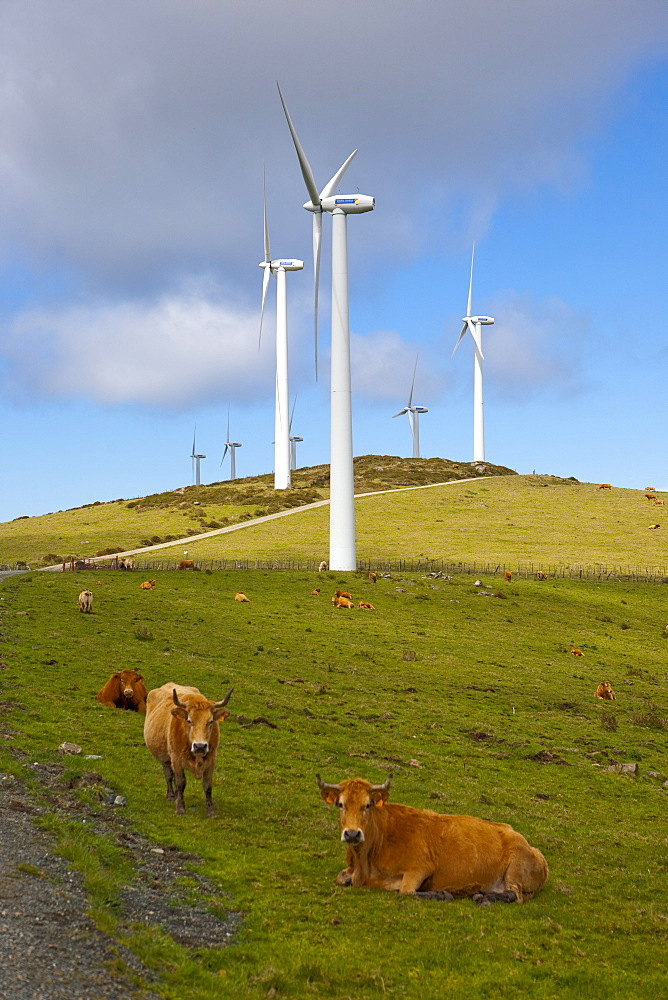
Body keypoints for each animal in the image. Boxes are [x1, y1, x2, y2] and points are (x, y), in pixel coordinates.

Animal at [143, 684, 232, 816]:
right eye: (189, 721)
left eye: (210, 721)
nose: (200, 746)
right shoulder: (176, 760)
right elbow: (180, 783)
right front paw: (180, 807)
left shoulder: (211, 760)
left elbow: (207, 785)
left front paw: (210, 810)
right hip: (165, 758)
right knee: (168, 774)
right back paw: (171, 796)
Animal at [318, 772, 548, 908]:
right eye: (340, 804)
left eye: (367, 805)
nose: (352, 834)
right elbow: (341, 877)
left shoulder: (421, 867)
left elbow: (405, 892)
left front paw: (441, 894)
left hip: (516, 867)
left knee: (513, 895)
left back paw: (484, 897)